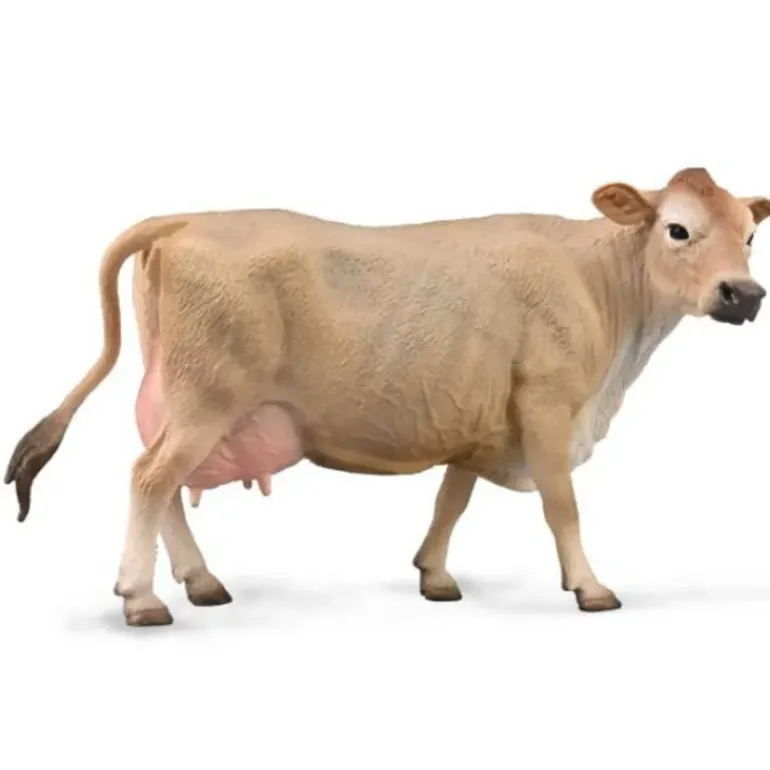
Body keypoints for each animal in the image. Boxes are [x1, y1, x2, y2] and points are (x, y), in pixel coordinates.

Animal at [5, 167, 769, 627]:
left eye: (751, 234)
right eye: (677, 228)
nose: (744, 294)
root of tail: (186, 219)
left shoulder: (481, 420)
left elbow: (451, 499)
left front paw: (434, 575)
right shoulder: (548, 406)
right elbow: (562, 507)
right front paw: (590, 587)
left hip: (187, 400)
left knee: (162, 481)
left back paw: (200, 582)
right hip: (207, 395)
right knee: (150, 478)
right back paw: (141, 599)